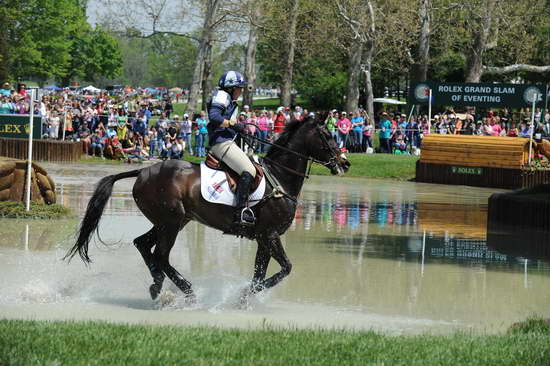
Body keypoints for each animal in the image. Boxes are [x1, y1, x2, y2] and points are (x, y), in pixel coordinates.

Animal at [64, 116, 350, 304]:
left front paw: (244, 299)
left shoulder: (263, 238)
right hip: (171, 222)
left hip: (174, 221)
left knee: (143, 245)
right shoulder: (269, 235)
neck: (280, 177)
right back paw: (187, 292)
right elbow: (285, 269)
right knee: (161, 256)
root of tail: (143, 171)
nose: (345, 163)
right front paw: (243, 295)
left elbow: (260, 273)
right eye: (327, 136)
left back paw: (158, 286)